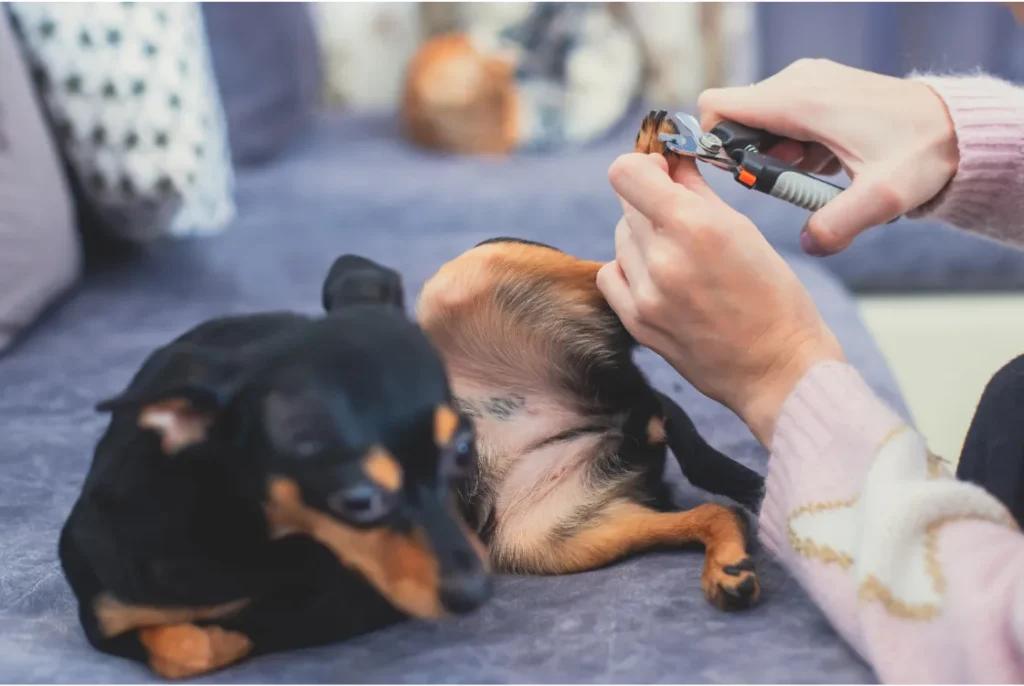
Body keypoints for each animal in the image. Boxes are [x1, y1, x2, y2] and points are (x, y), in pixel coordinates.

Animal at [59, 256, 491, 683]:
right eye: (358, 501)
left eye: (463, 450)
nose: (476, 591)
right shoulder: (106, 615)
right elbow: (188, 650)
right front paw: (222, 636)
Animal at [417, 122, 770, 606]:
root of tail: (631, 408)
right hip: (557, 535)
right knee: (718, 510)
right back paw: (728, 565)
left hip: (475, 271)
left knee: (619, 270)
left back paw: (651, 153)